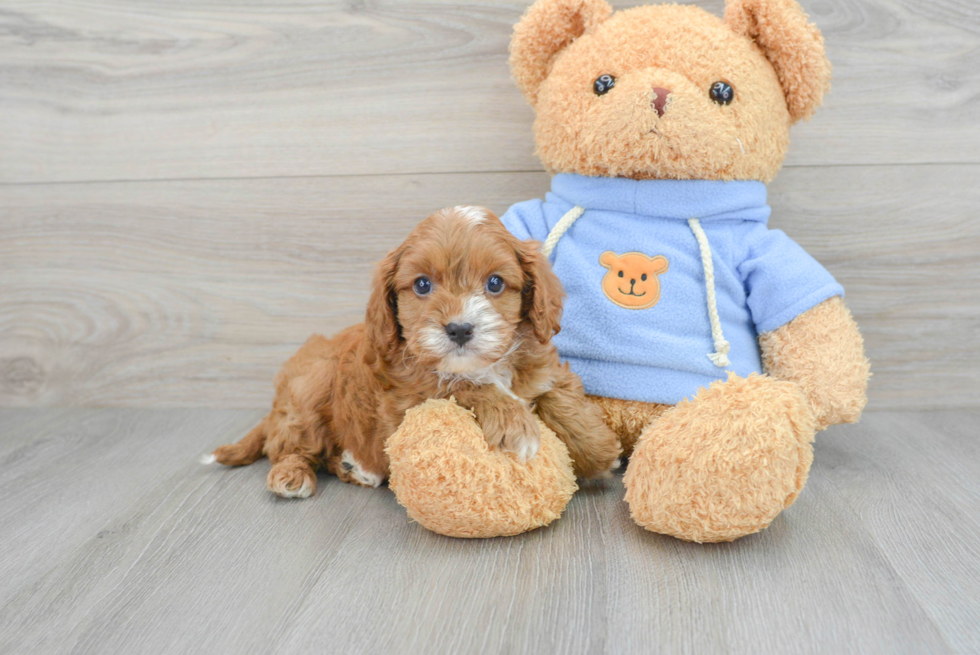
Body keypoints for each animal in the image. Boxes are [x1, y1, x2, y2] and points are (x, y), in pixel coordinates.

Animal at [207, 205, 620, 498]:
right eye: (422, 285)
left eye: (495, 283)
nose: (459, 329)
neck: (480, 365)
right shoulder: (407, 401)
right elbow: (464, 386)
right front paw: (514, 424)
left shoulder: (537, 364)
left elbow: (556, 394)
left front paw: (598, 450)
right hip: (309, 389)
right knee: (288, 446)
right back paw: (291, 474)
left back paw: (353, 468)